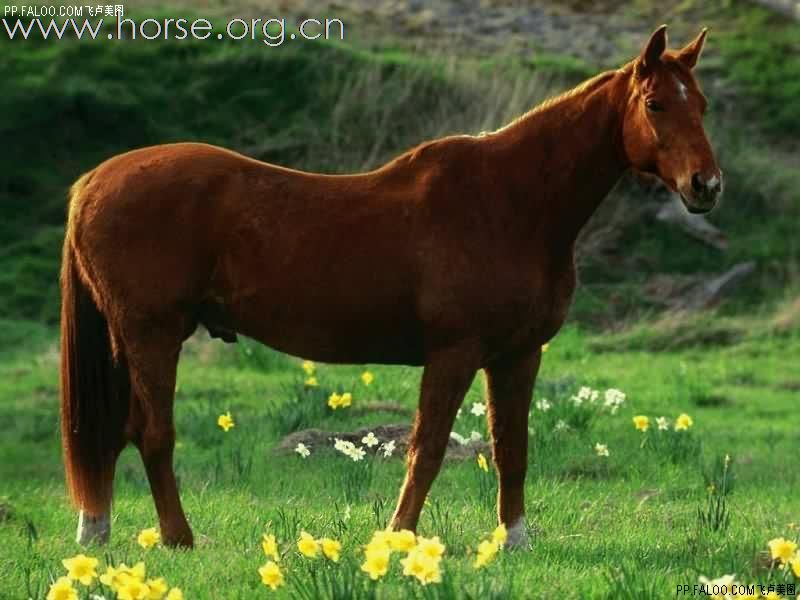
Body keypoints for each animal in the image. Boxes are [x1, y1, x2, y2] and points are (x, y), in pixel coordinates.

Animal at [61, 25, 720, 548]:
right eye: (656, 104)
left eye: (703, 106)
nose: (706, 186)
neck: (509, 205)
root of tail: (92, 182)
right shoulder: (453, 353)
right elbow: (426, 449)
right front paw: (399, 537)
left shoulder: (518, 354)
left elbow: (512, 447)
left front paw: (514, 541)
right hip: (153, 336)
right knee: (153, 434)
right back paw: (177, 538)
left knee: (116, 434)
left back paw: (100, 532)